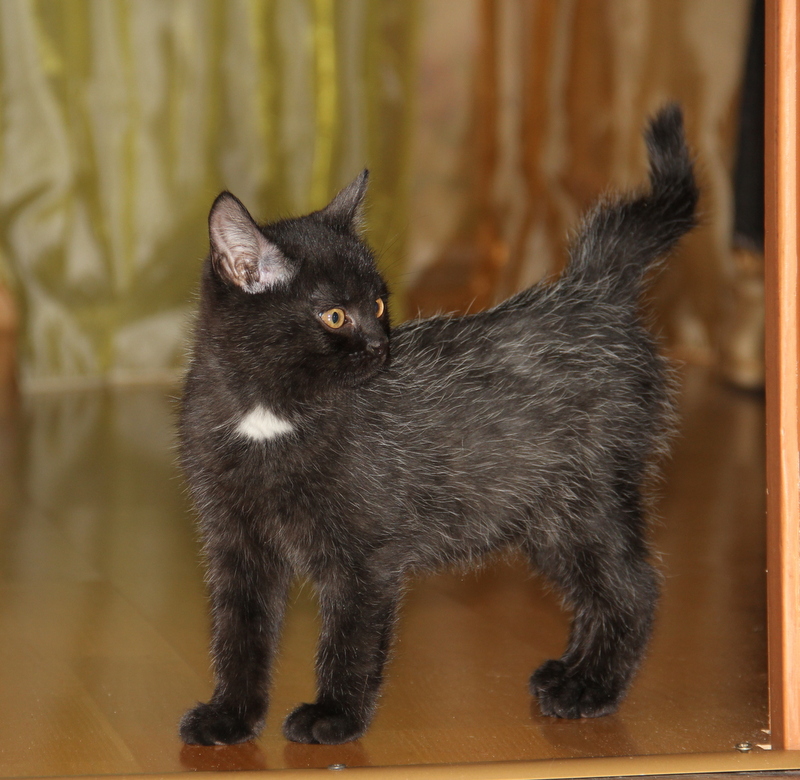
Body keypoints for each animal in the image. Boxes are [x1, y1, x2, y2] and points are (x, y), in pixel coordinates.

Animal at [178, 104, 698, 746]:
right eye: (334, 315)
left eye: (378, 305)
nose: (381, 346)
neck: (270, 415)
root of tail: (592, 292)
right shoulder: (234, 541)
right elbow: (239, 633)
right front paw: (230, 715)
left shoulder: (367, 555)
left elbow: (351, 638)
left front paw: (334, 716)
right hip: (542, 514)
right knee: (600, 591)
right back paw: (571, 671)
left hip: (584, 497)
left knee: (634, 587)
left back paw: (591, 688)